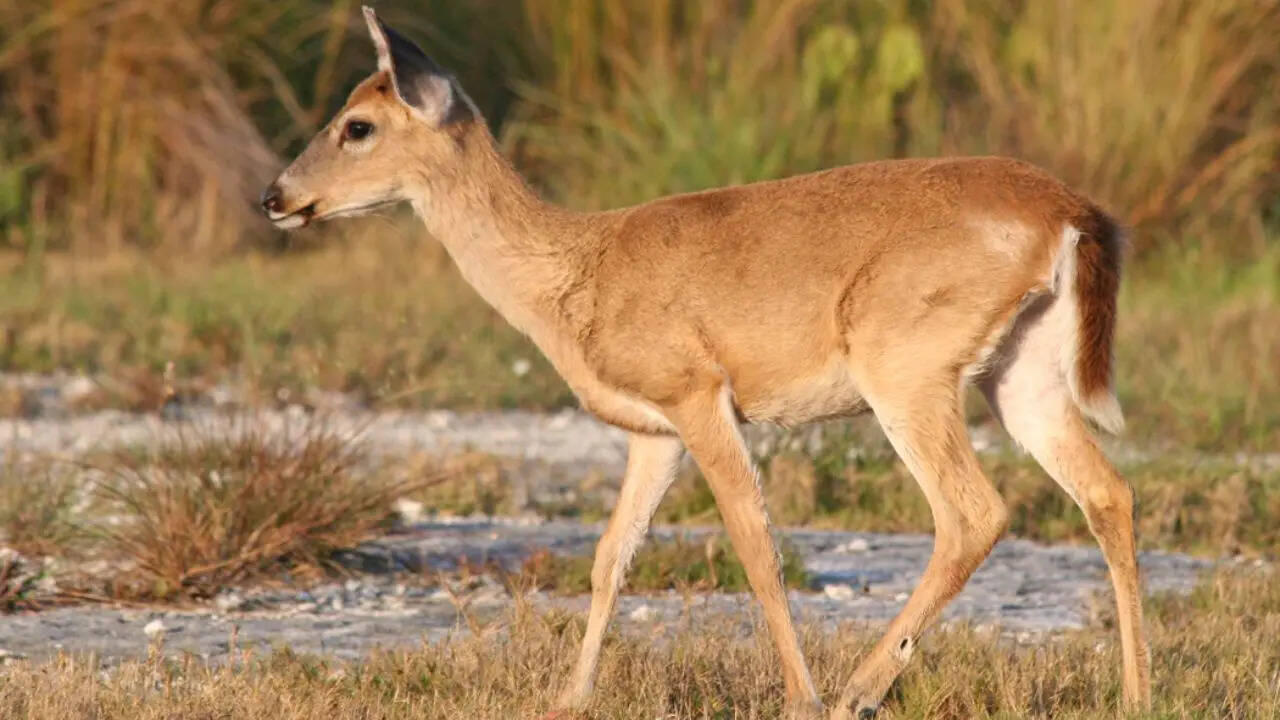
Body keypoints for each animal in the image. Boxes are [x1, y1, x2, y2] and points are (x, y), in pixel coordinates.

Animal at [261, 8, 1151, 719]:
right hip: (1021, 373)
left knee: (973, 511)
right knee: (1107, 492)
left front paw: (799, 697)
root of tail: (1072, 212)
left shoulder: (697, 392)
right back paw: (1136, 693)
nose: (275, 197)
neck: (572, 276)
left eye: (357, 125)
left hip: (904, 363)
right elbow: (610, 556)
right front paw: (570, 697)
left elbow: (755, 542)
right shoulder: (651, 429)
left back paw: (856, 691)